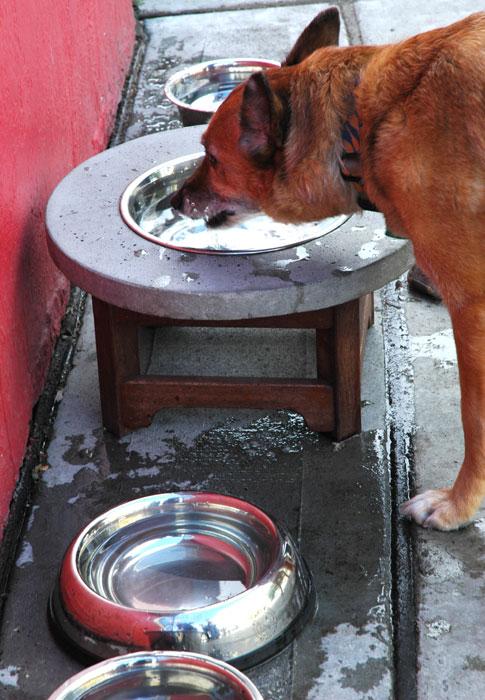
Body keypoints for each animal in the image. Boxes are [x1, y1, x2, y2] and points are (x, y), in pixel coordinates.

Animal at [171, 8, 485, 532]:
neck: (362, 123)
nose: (174, 201)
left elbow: (474, 417)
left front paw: (458, 505)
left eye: (212, 158)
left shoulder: (472, 306)